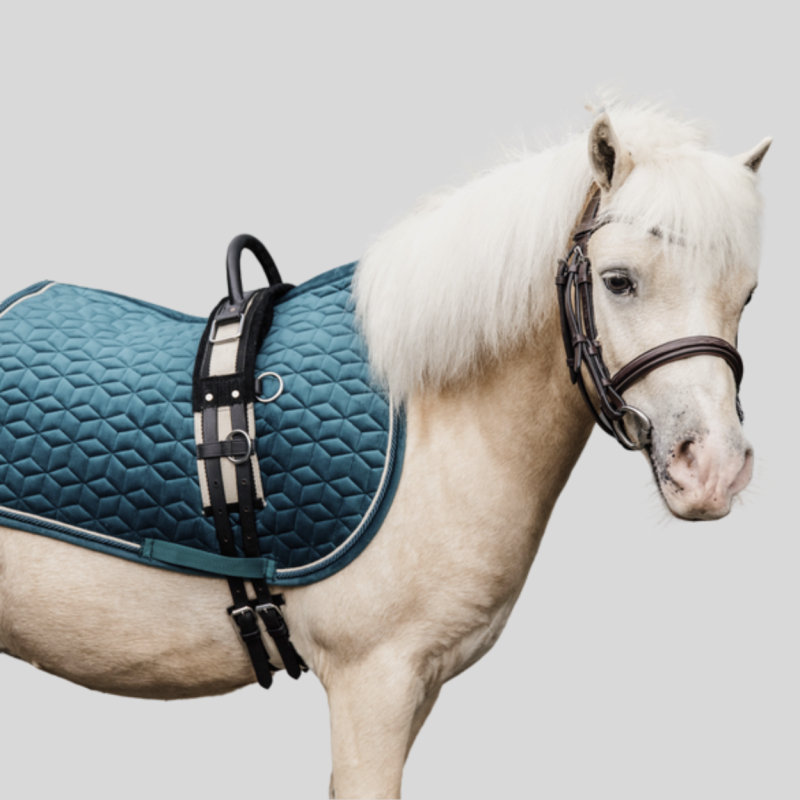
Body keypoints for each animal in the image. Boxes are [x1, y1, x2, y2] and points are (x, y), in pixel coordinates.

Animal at [0, 102, 771, 798]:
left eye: (747, 293)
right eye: (618, 281)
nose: (712, 468)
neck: (435, 424)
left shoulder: (418, 685)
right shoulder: (372, 683)